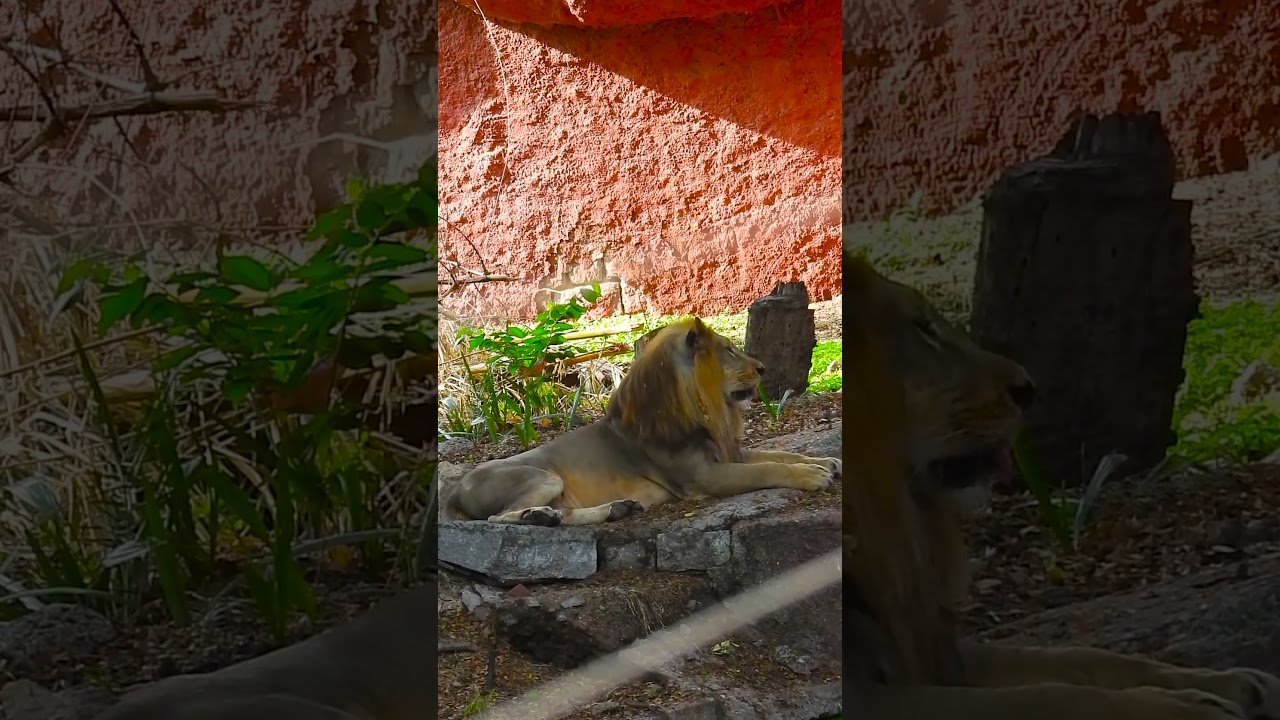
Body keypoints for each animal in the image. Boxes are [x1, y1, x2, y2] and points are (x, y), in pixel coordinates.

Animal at [443, 316, 841, 526]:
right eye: (729, 351)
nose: (762, 368)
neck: (703, 409)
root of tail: (456, 489)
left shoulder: (728, 454)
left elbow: (782, 454)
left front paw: (826, 461)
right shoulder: (702, 477)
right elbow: (769, 468)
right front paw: (812, 476)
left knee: (563, 514)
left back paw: (613, 509)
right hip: (542, 476)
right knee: (498, 519)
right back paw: (539, 516)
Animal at [842, 250, 1280, 720]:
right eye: (922, 329)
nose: (1028, 389)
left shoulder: (935, 651)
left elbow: (1085, 659)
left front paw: (1235, 683)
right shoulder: (865, 695)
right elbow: (1049, 696)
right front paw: (1192, 709)